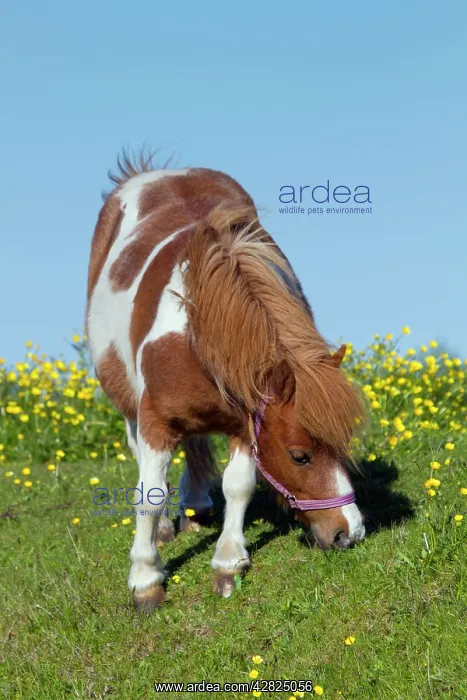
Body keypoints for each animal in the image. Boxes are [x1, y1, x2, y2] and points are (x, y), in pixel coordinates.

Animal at [86, 152, 367, 611]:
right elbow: (149, 495)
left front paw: (228, 563)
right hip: (125, 399)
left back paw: (197, 506)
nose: (349, 531)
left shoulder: (245, 421)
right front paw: (145, 579)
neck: (199, 330)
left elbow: (238, 486)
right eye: (300, 456)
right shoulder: (155, 421)